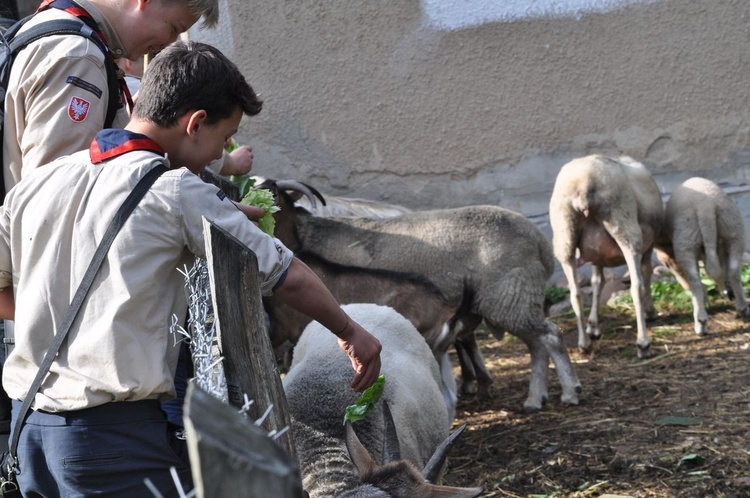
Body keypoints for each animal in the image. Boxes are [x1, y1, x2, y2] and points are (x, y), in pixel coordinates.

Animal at [266, 179, 588, 412]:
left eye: (275, 196)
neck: (304, 235)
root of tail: (541, 243)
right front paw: (477, 383)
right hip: (515, 299)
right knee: (537, 343)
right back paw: (537, 396)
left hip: (510, 296)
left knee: (549, 337)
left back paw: (568, 391)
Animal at [548, 154, 668, 356]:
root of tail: (584, 181)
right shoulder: (648, 247)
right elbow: (646, 275)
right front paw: (650, 311)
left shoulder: (596, 255)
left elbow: (597, 283)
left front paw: (593, 326)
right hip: (625, 227)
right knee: (636, 286)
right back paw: (643, 343)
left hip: (564, 234)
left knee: (575, 293)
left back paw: (584, 343)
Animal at [656, 176, 748, 334]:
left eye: (667, 263)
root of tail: (706, 206)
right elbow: (722, 270)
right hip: (733, 230)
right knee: (734, 271)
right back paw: (742, 307)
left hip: (686, 242)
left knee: (696, 282)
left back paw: (700, 322)